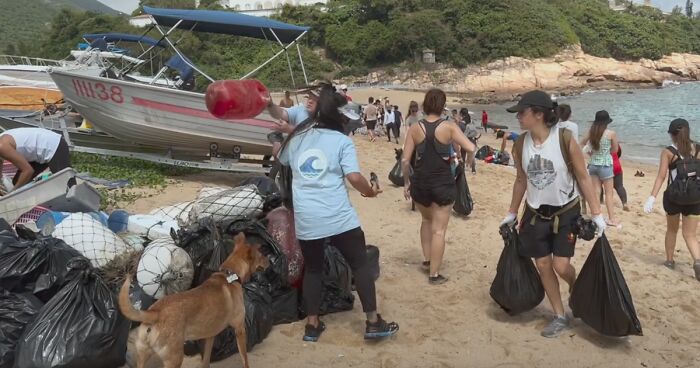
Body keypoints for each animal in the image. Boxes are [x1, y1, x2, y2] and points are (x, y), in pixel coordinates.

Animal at [119, 233, 270, 368]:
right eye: (261, 255)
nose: (269, 262)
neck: (229, 274)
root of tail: (155, 312)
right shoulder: (240, 329)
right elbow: (245, 359)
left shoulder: (210, 336)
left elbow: (206, 360)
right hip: (174, 360)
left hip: (142, 355)